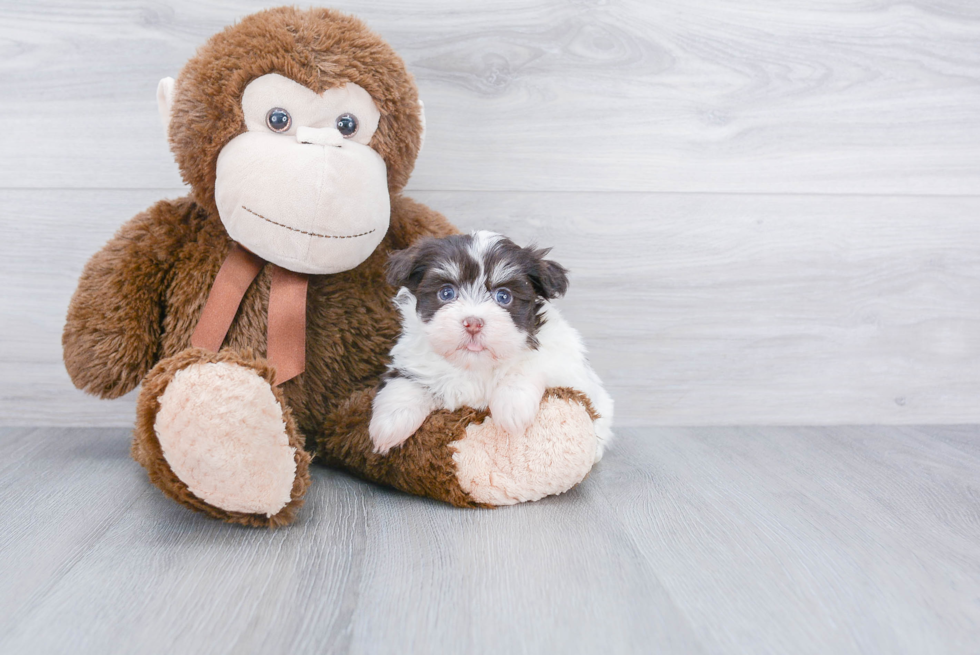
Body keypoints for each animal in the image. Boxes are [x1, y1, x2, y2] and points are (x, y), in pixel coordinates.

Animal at [372, 231, 616, 462]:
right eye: (447, 293)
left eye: (503, 296)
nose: (473, 323)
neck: (475, 365)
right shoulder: (413, 361)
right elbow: (406, 384)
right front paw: (389, 424)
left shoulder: (560, 354)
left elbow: (525, 366)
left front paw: (512, 409)